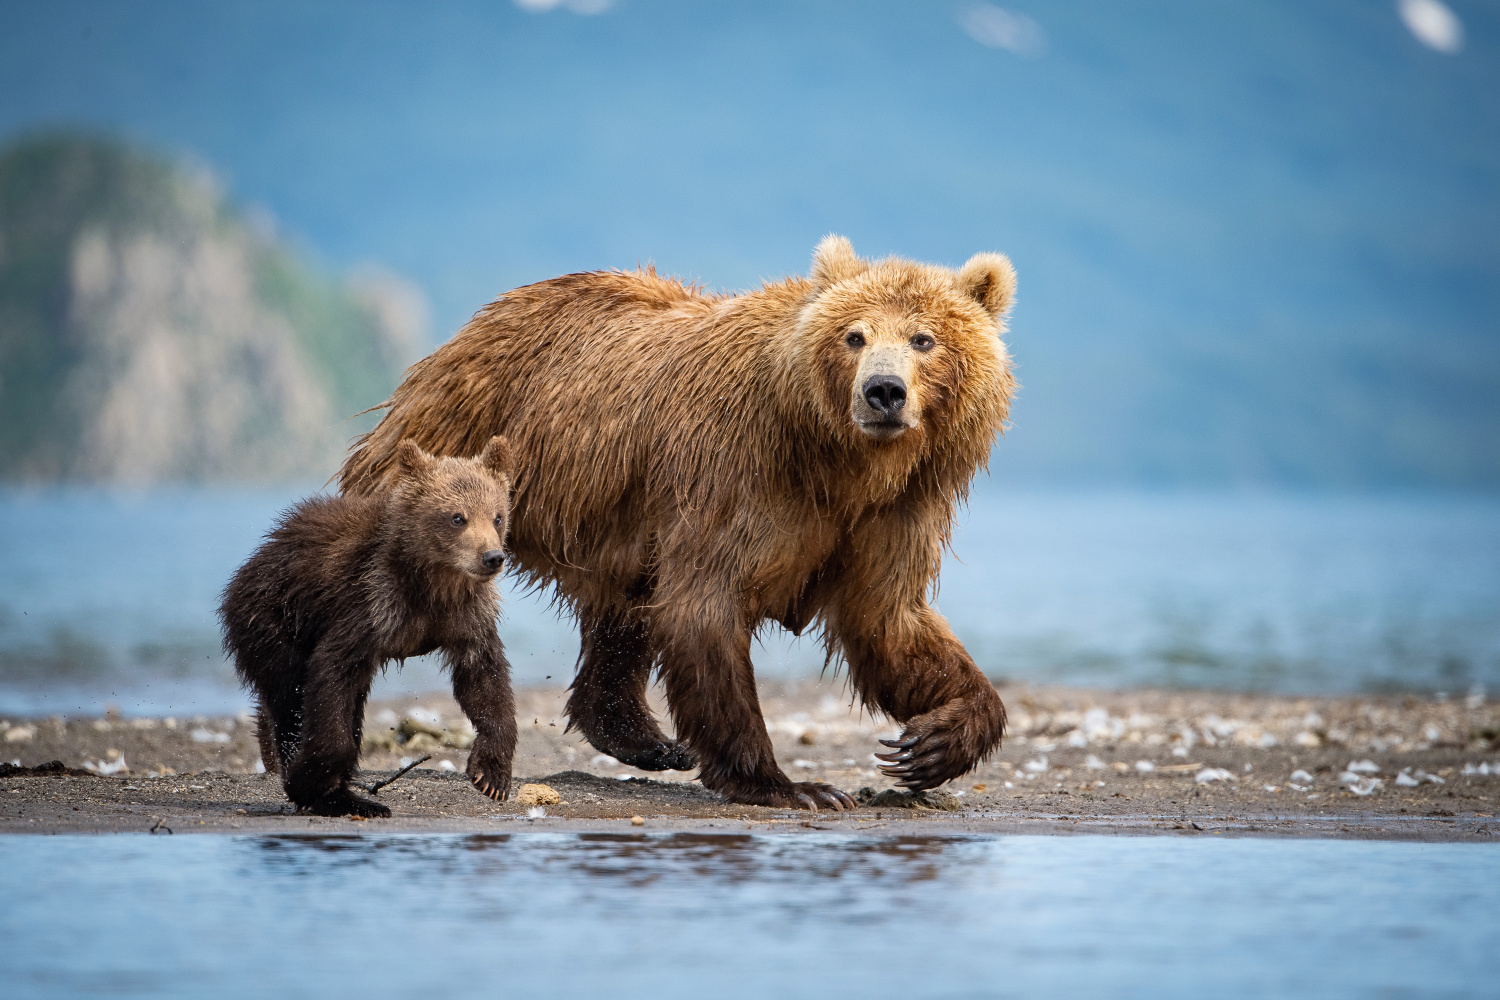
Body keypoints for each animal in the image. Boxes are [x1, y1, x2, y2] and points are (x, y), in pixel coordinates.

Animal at [342, 236, 1020, 815]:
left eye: (924, 338)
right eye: (854, 335)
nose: (883, 391)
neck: (840, 461)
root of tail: (467, 331)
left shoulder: (895, 509)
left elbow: (886, 617)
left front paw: (933, 741)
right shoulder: (738, 471)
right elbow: (704, 606)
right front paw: (793, 785)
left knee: (629, 608)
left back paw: (647, 738)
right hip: (461, 448)